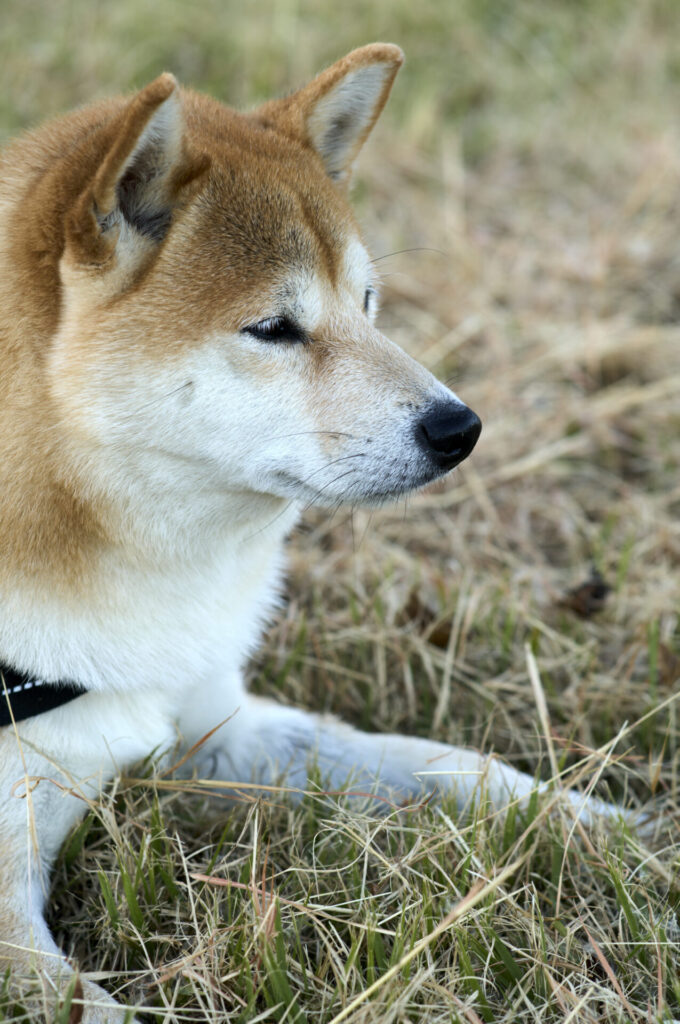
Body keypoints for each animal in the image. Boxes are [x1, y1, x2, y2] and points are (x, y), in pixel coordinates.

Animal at [0, 44, 626, 1019]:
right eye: (272, 328)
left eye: (366, 303)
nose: (460, 429)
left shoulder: (209, 722)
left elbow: (444, 764)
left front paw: (592, 823)